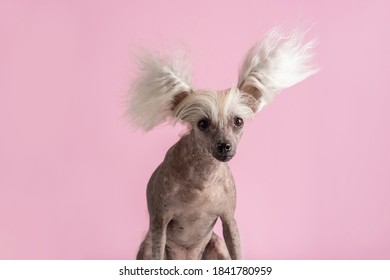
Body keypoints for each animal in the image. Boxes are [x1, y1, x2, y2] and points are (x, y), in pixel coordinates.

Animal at [129, 26, 318, 260]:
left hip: (217, 245)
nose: (225, 146)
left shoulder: (229, 221)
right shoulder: (159, 223)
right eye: (202, 123)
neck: (203, 179)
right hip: (147, 246)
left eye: (238, 121)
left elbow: (237, 252)